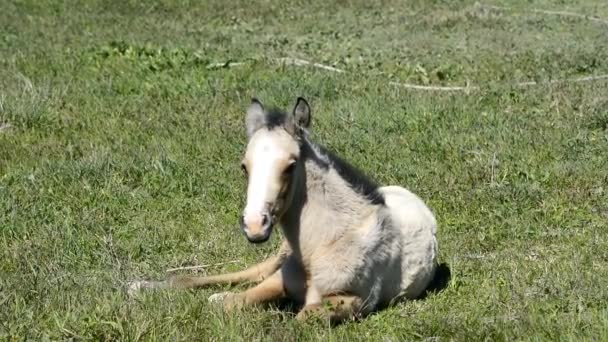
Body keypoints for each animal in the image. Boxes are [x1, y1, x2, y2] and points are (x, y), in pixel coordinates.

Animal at [131, 97, 440, 322]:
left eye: (290, 166)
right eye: (244, 166)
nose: (255, 226)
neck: (323, 244)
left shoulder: (356, 300)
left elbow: (301, 319)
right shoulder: (281, 278)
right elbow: (232, 301)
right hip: (278, 256)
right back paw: (140, 286)